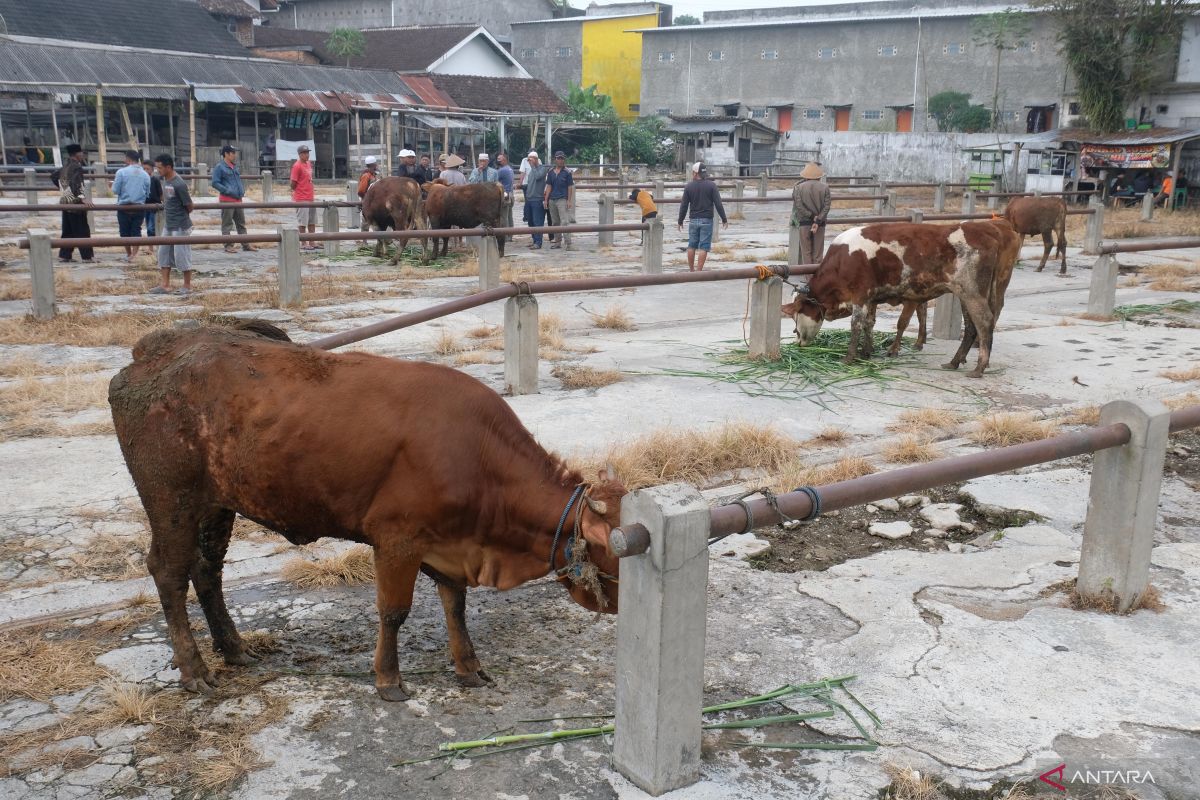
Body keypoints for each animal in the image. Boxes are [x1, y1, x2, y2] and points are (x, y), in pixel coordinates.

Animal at [108, 321, 624, 705]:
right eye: (616, 551)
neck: (476, 453)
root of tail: (153, 352)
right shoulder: (397, 540)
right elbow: (394, 612)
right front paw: (389, 680)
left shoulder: (449, 545)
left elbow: (455, 606)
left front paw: (468, 667)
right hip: (171, 501)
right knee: (169, 572)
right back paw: (194, 669)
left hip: (217, 505)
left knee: (206, 570)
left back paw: (233, 649)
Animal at [777, 220, 1022, 381]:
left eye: (796, 316)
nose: (798, 340)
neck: (842, 260)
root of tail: (988, 231)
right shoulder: (871, 297)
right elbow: (869, 324)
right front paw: (867, 351)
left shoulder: (860, 295)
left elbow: (856, 325)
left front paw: (849, 357)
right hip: (966, 294)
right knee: (971, 326)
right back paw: (955, 361)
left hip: (972, 292)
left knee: (984, 321)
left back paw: (980, 367)